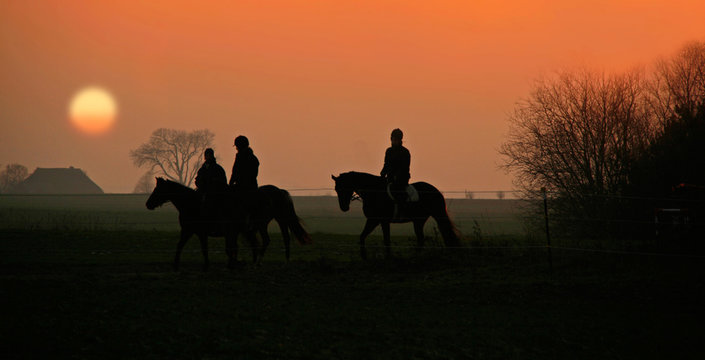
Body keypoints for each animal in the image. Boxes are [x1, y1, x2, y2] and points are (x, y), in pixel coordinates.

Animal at [332, 171, 460, 258]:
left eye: (345, 188)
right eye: (336, 189)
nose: (344, 207)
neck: (374, 192)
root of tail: (436, 190)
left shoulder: (381, 221)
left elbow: (386, 239)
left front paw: (388, 257)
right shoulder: (373, 220)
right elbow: (362, 236)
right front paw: (364, 256)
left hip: (437, 215)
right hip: (419, 220)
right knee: (421, 238)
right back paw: (416, 256)